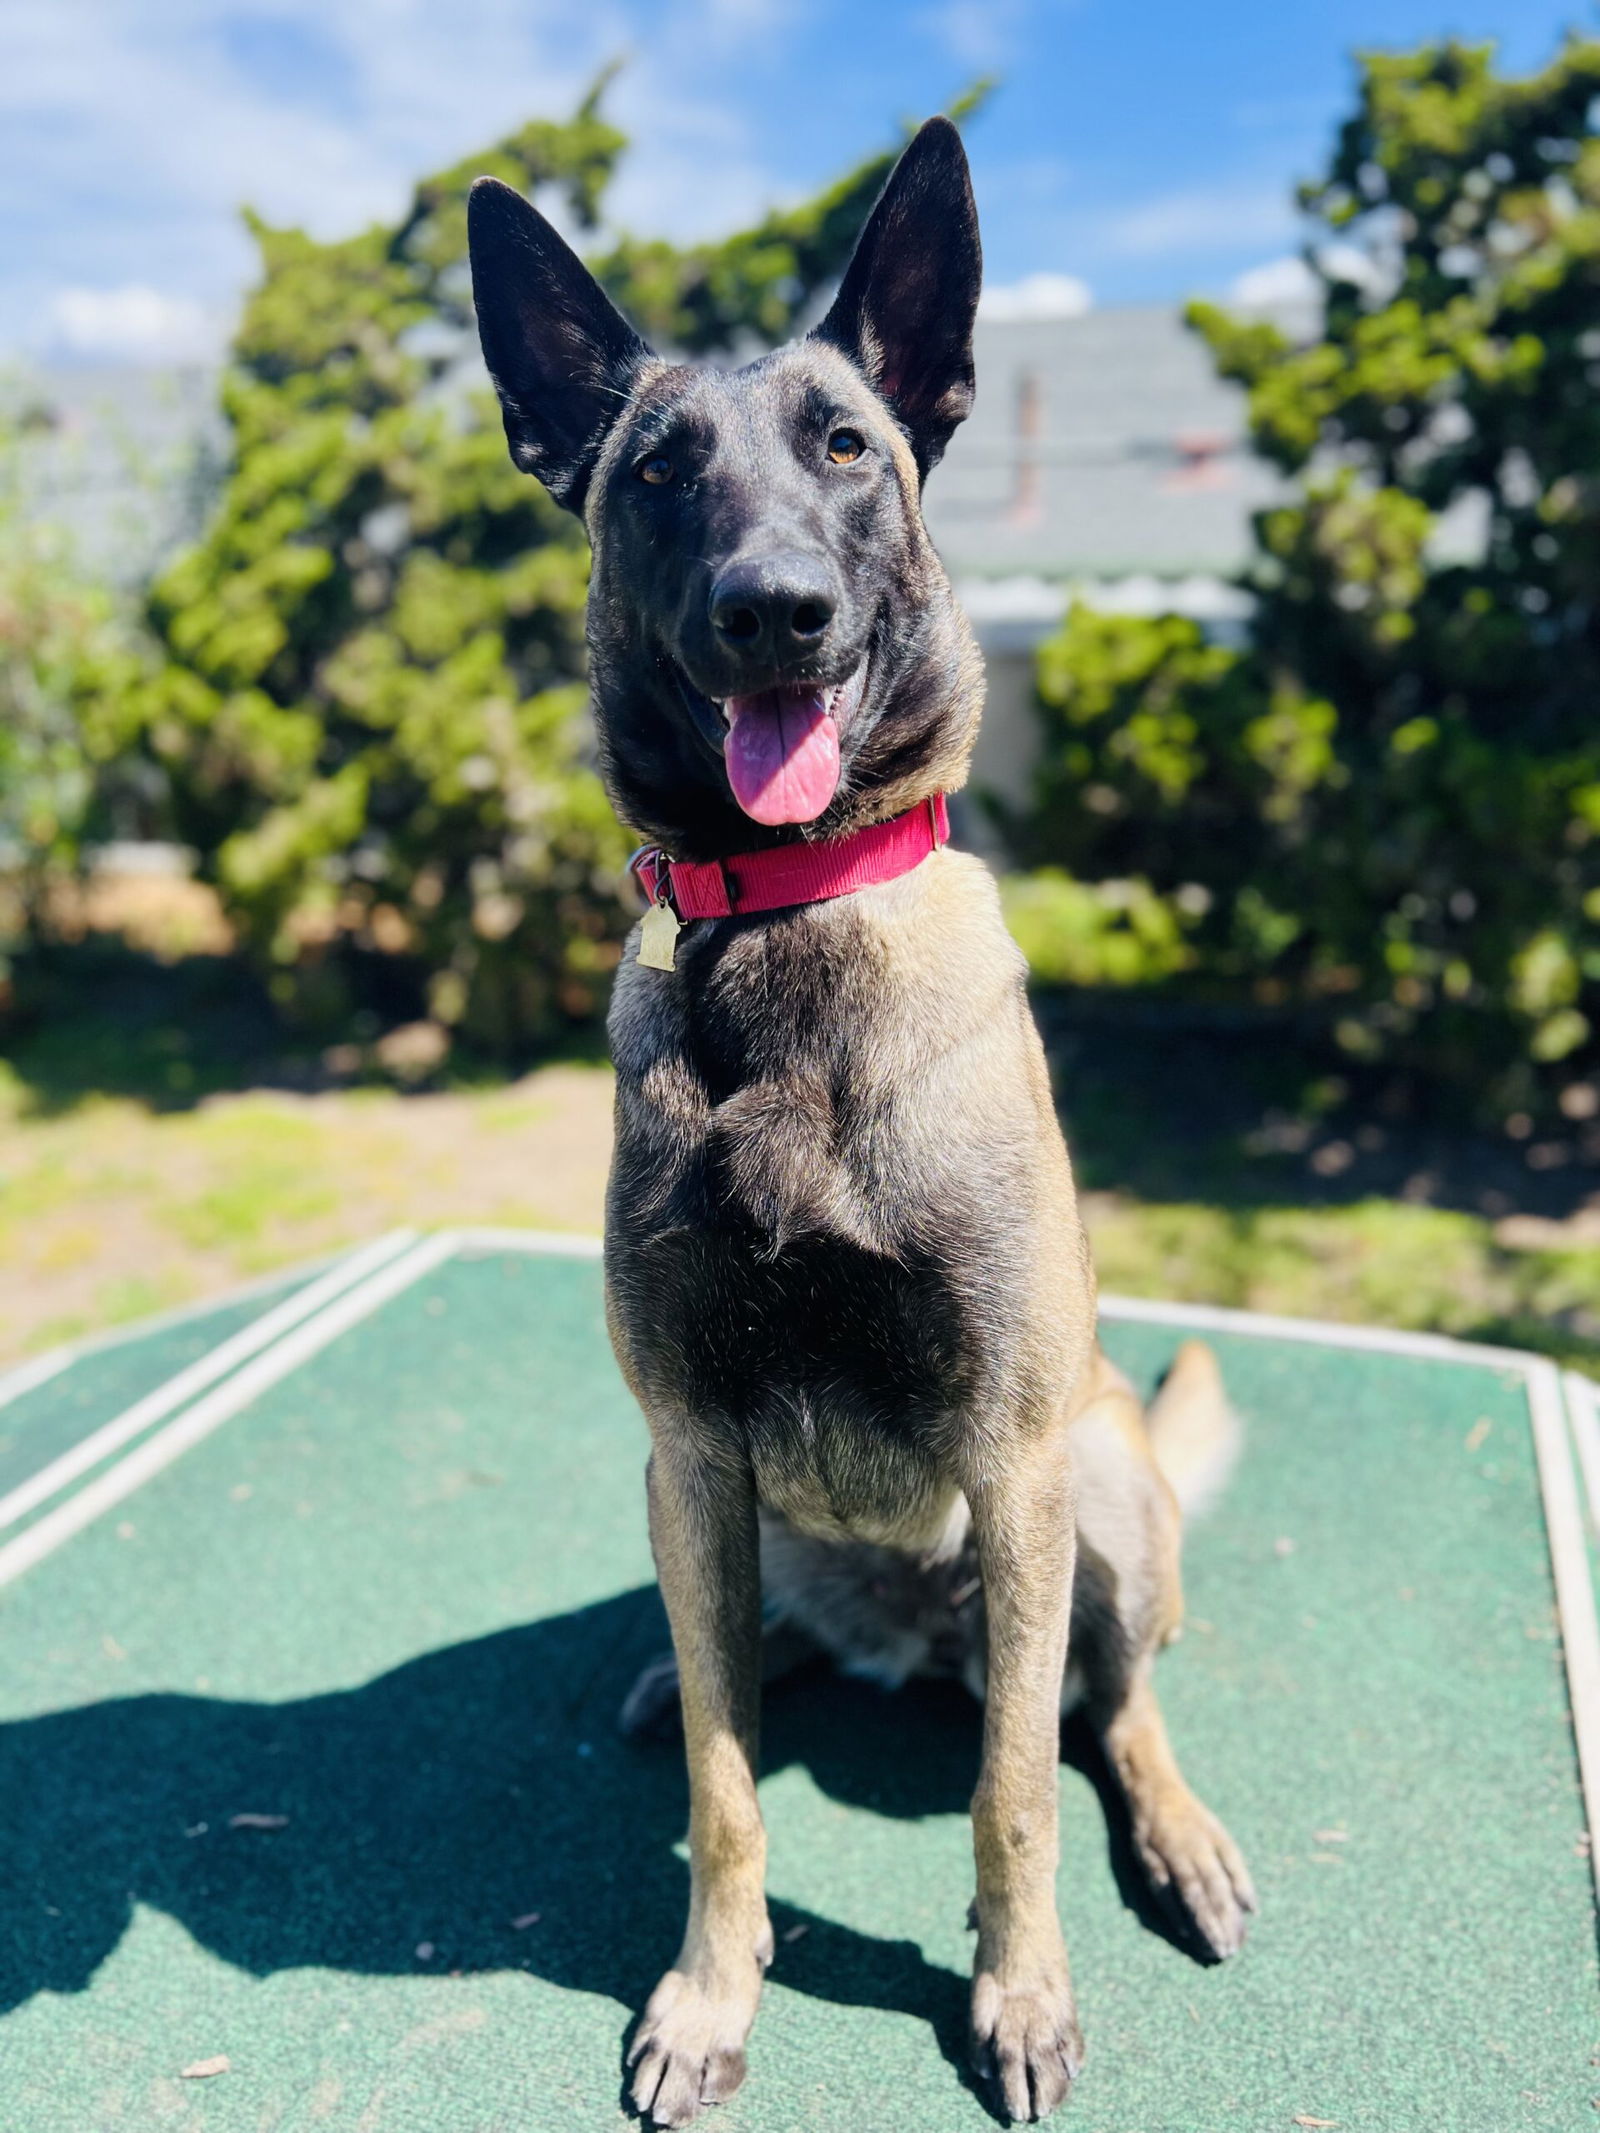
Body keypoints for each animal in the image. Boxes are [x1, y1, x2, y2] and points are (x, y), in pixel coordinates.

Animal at [469, 121, 1262, 2133]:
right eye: (658, 470)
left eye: (845, 446)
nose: (773, 610)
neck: (788, 914)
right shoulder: (690, 1446)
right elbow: (727, 1786)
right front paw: (711, 1988)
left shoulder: (1016, 1457)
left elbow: (1014, 1787)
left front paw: (1020, 1991)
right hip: (710, 1504)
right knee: (750, 1657)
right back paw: (684, 1672)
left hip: (1101, 1492)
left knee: (1114, 1705)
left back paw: (1179, 1831)